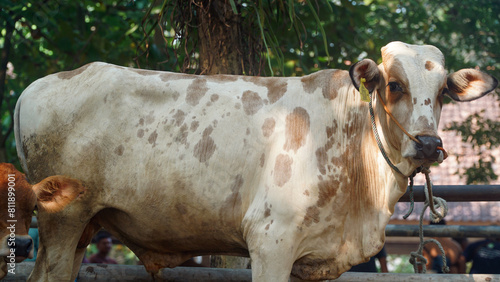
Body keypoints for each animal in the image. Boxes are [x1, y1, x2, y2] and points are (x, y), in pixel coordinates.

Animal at [13, 40, 494, 280]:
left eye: (445, 91)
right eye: (393, 85)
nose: (429, 145)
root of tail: (39, 85)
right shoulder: (271, 242)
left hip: (83, 226)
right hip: (63, 221)